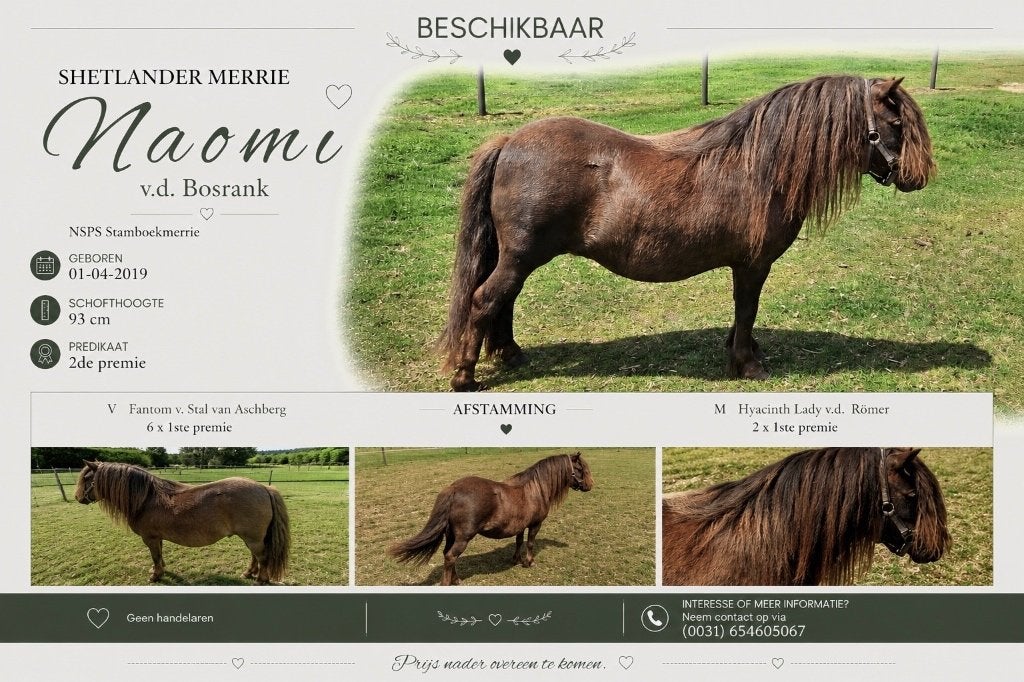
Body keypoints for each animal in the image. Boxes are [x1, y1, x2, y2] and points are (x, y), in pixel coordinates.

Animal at [74, 461, 290, 584]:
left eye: (87, 478)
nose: (77, 497)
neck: (146, 499)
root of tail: (264, 488)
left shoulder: (150, 538)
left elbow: (155, 556)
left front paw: (155, 576)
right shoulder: (157, 538)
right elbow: (159, 556)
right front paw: (159, 570)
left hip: (253, 538)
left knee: (262, 558)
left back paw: (260, 580)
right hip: (251, 538)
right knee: (255, 557)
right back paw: (248, 573)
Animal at [388, 452, 594, 585]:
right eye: (580, 468)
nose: (590, 485)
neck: (535, 489)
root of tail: (453, 489)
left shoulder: (520, 526)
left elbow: (519, 542)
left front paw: (516, 560)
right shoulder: (535, 524)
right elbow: (530, 543)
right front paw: (529, 562)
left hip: (451, 535)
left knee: (448, 555)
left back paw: (456, 579)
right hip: (463, 538)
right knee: (450, 556)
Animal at [439, 75, 936, 390]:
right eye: (896, 124)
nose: (918, 177)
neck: (761, 165)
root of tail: (509, 142)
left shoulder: (747, 264)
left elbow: (743, 314)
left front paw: (744, 351)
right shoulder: (753, 264)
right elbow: (747, 309)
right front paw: (747, 364)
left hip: (517, 257)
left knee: (502, 302)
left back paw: (511, 354)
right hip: (521, 256)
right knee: (485, 300)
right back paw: (465, 377)